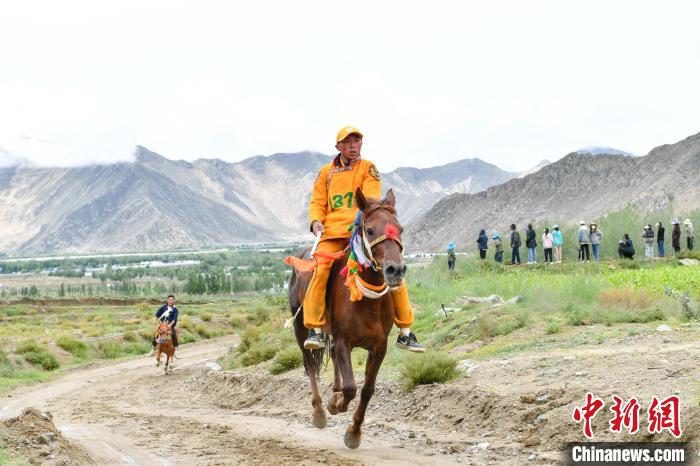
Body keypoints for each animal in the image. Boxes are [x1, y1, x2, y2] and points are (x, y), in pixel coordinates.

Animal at [286, 187, 404, 450]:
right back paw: (320, 411)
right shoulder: (344, 340)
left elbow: (367, 389)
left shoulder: (379, 346)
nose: (396, 270)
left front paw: (354, 431)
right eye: (370, 230)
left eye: (400, 229)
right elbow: (351, 387)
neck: (368, 301)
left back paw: (334, 392)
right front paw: (336, 406)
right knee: (310, 365)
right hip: (299, 327)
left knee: (330, 358)